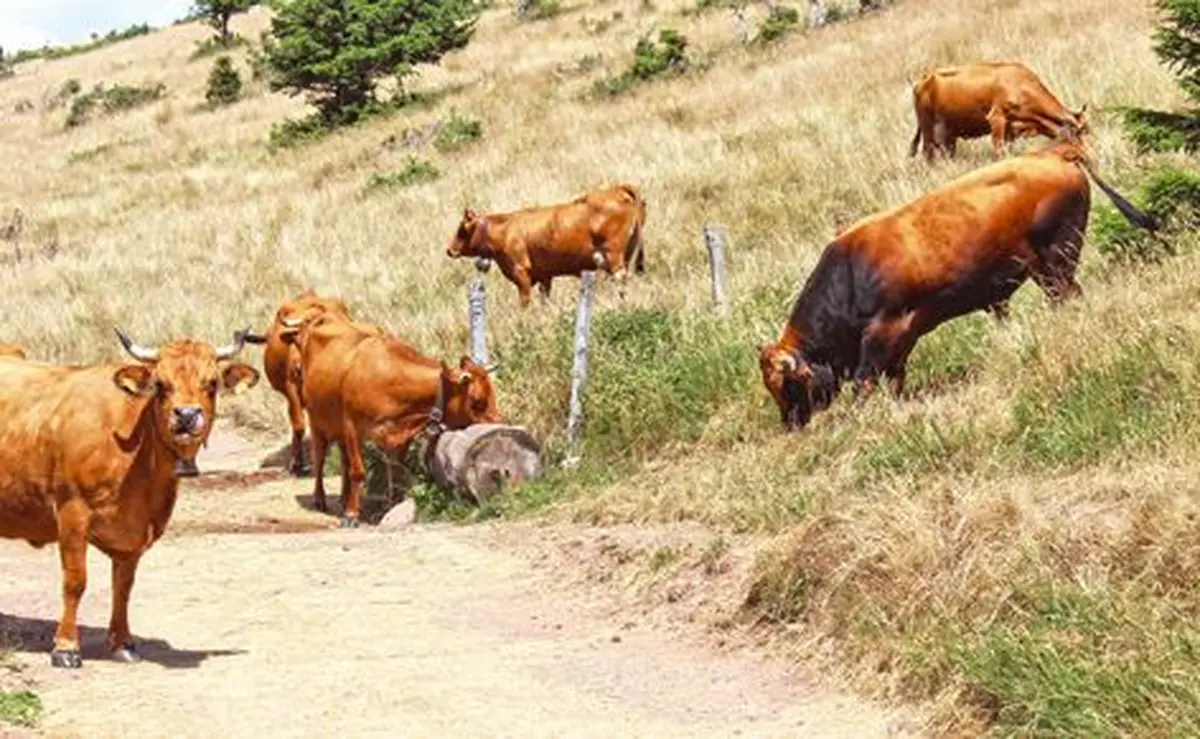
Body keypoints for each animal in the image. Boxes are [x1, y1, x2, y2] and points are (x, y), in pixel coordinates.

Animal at [0, 328, 259, 668]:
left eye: (212, 383)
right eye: (160, 385)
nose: (187, 415)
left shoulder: (137, 530)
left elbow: (123, 587)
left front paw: (123, 643)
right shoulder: (71, 513)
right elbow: (75, 582)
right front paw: (66, 647)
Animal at [282, 314, 501, 527]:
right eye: (478, 401)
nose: (501, 422)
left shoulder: (399, 437)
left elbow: (395, 473)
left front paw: (391, 506)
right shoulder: (352, 428)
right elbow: (358, 471)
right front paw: (352, 515)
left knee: (343, 460)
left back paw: (344, 498)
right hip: (317, 419)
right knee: (320, 457)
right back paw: (320, 499)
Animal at [445, 183, 647, 307]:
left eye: (462, 229)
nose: (449, 250)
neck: (505, 230)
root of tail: (616, 188)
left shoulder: (521, 274)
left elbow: (525, 302)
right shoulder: (545, 276)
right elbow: (544, 299)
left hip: (613, 255)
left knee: (620, 278)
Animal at [759, 138, 1158, 431]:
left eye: (786, 384)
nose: (790, 425)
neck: (851, 275)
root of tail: (1052, 152)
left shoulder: (882, 332)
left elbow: (865, 381)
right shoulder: (902, 337)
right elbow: (895, 376)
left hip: (1057, 261)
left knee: (1068, 296)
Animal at [908, 61, 1089, 162]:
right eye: (1080, 135)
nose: (1090, 153)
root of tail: (924, 79)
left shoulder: (1011, 129)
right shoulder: (997, 119)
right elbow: (999, 152)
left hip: (948, 136)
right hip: (928, 131)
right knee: (927, 155)